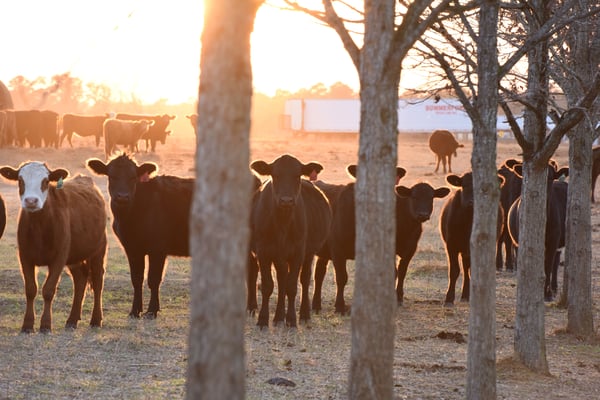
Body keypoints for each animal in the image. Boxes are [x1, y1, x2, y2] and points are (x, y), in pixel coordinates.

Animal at [0, 161, 106, 332]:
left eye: (45, 181)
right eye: (20, 180)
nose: (31, 201)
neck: (39, 226)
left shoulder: (59, 258)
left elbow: (48, 290)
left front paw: (45, 325)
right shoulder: (25, 257)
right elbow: (31, 289)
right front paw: (27, 325)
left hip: (98, 249)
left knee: (97, 281)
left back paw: (96, 320)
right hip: (75, 257)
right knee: (80, 279)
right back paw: (72, 320)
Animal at [86, 154, 193, 318]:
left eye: (133, 177)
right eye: (112, 176)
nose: (122, 197)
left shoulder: (158, 249)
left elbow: (154, 279)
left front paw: (152, 310)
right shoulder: (132, 249)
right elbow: (136, 279)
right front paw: (135, 310)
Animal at [250, 155, 332, 326]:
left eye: (297, 176)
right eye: (275, 175)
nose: (286, 200)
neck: (283, 222)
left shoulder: (298, 252)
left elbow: (292, 286)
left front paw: (292, 320)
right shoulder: (263, 252)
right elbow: (268, 285)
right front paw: (263, 319)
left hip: (308, 254)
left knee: (304, 279)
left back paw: (304, 314)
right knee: (282, 280)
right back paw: (279, 317)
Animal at [506, 162, 568, 300]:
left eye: (550, 178)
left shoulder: (553, 241)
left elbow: (548, 266)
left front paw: (546, 294)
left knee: (555, 262)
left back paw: (554, 289)